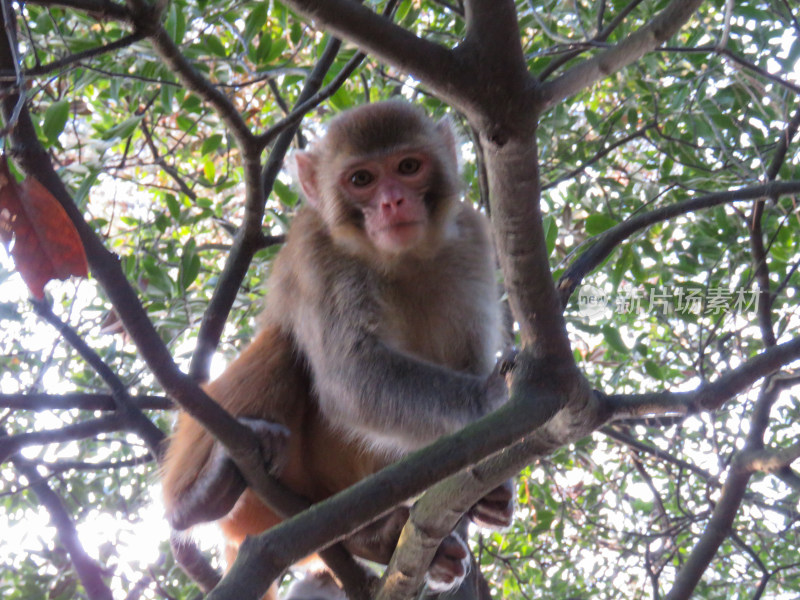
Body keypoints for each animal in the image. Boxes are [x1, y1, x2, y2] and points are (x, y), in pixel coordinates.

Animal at [160, 101, 516, 596]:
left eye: (408, 167)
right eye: (361, 179)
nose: (392, 202)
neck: (401, 258)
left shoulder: (471, 238)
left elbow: (466, 361)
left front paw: (492, 497)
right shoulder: (318, 250)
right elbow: (351, 378)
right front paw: (494, 398)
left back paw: (379, 539)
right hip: (259, 500)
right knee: (285, 347)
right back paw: (197, 499)